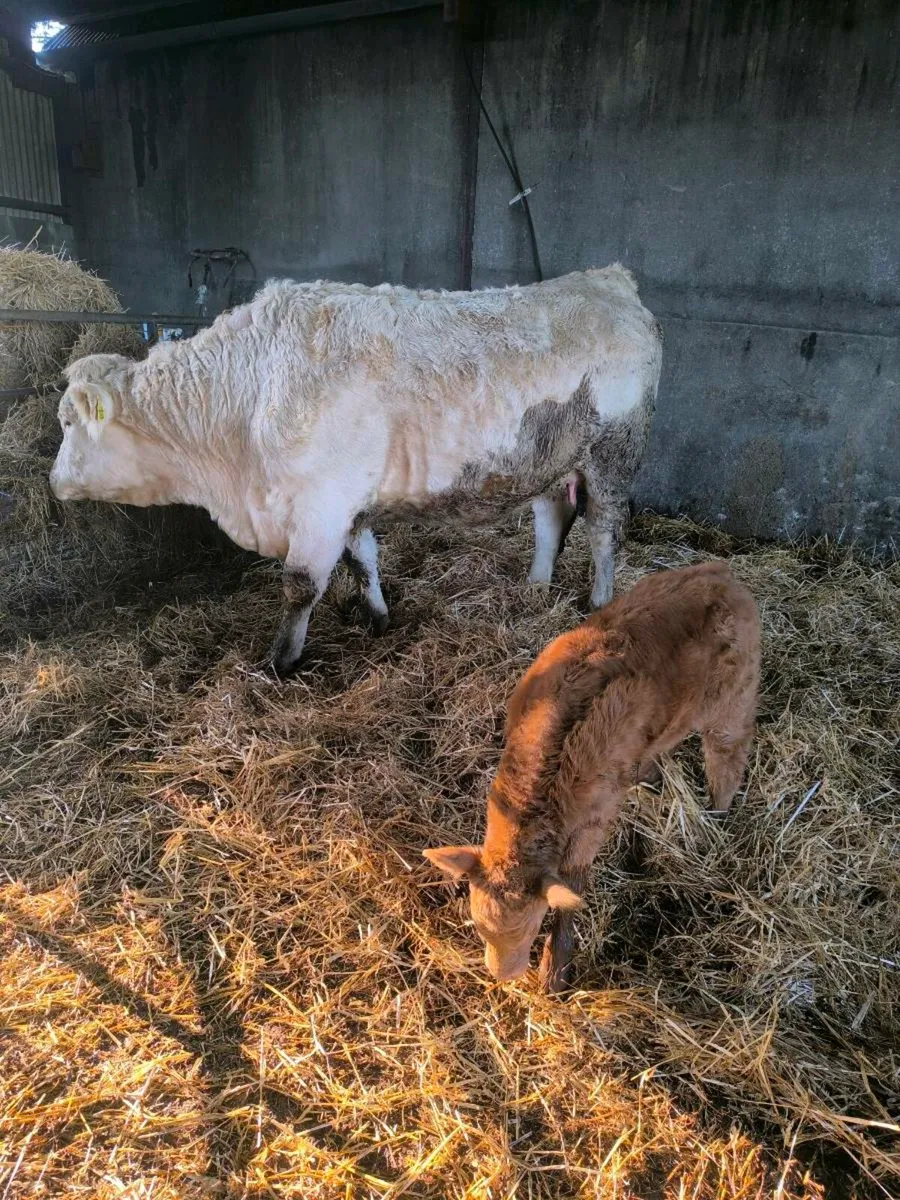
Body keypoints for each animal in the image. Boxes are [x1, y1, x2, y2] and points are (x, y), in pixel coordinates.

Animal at [49, 267, 662, 676]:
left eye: (67, 423)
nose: (53, 482)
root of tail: (609, 280)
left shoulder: (319, 504)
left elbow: (300, 586)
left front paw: (280, 662)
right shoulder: (343, 504)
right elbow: (363, 561)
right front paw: (378, 618)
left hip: (614, 452)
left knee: (604, 530)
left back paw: (600, 605)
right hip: (550, 455)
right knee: (551, 516)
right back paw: (535, 585)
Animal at [423, 561, 761, 994]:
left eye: (531, 930)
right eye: (481, 929)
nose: (504, 976)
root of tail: (721, 572)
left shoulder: (593, 821)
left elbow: (572, 888)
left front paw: (554, 973)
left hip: (734, 697)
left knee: (727, 757)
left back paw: (717, 820)